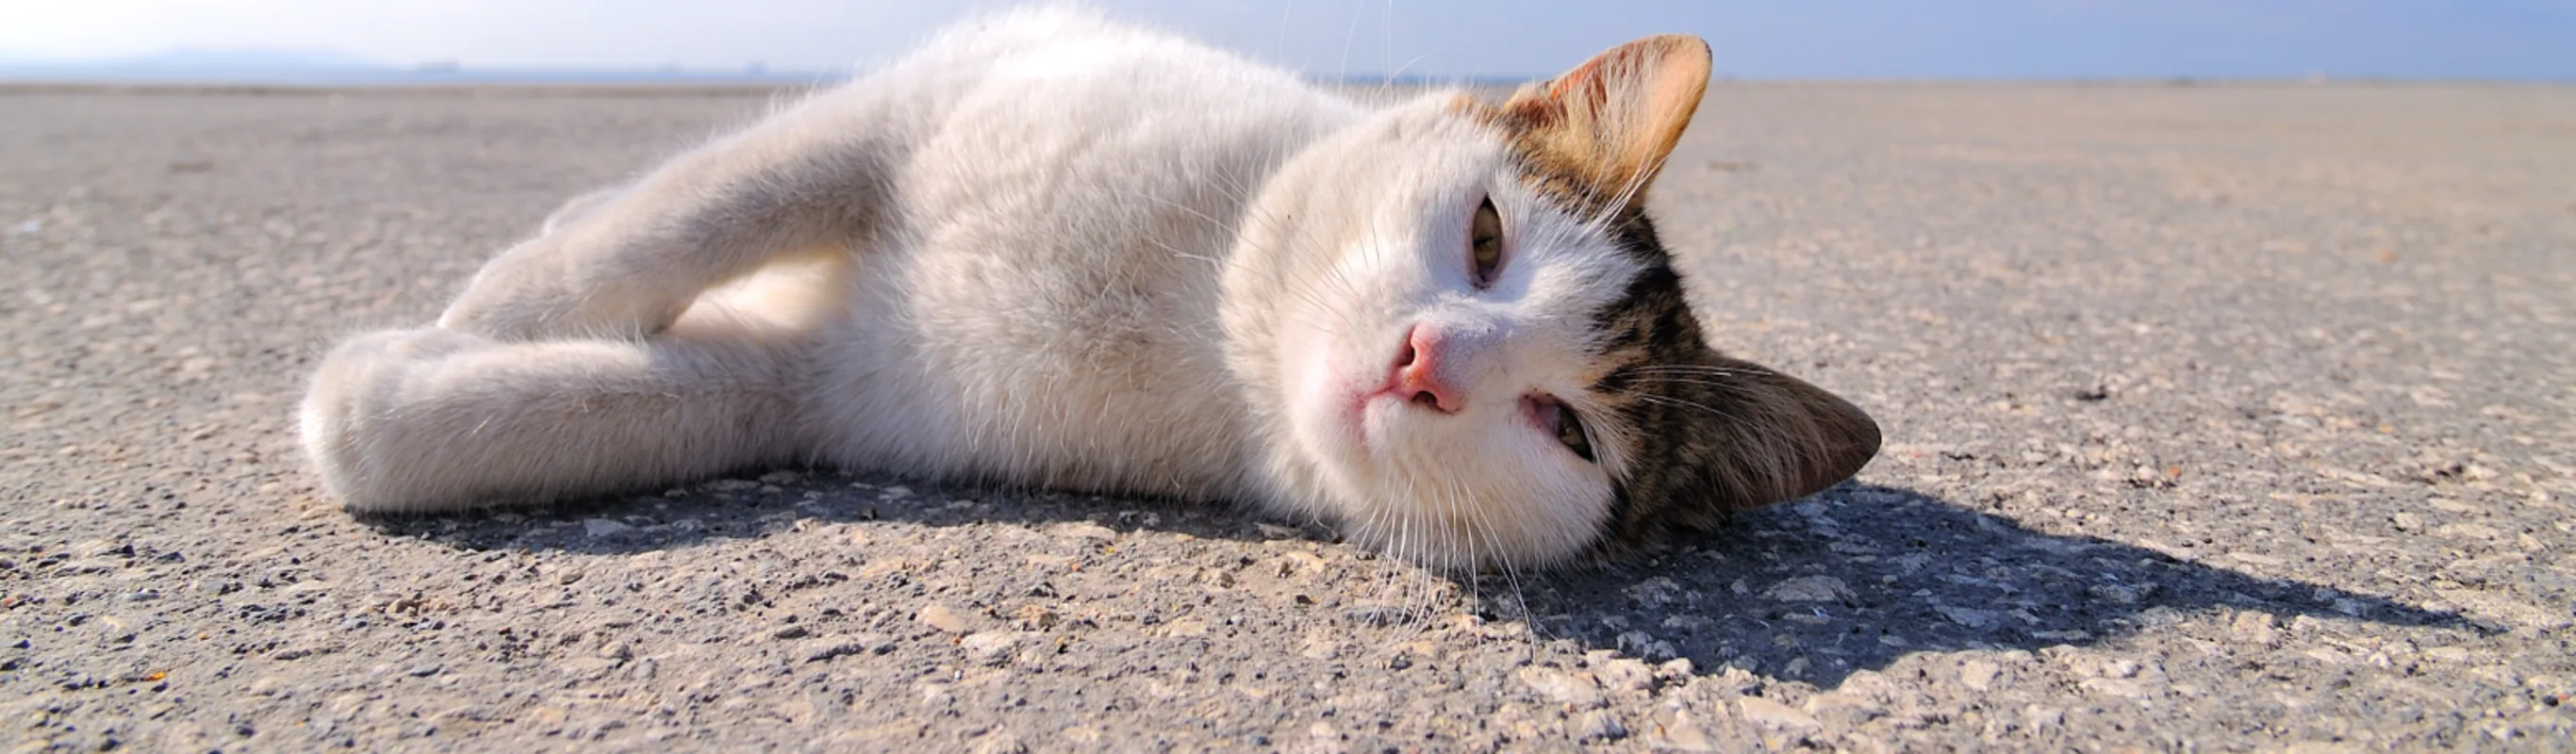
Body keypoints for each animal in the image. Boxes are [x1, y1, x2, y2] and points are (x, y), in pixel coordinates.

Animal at [296, 7, 1874, 568]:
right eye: (1485, 237)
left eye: (1569, 431)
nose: (1430, 363)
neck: (1199, 317)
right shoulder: (917, 106)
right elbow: (686, 218)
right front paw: (498, 306)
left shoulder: (819, 391)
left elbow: (623, 408)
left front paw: (396, 401)